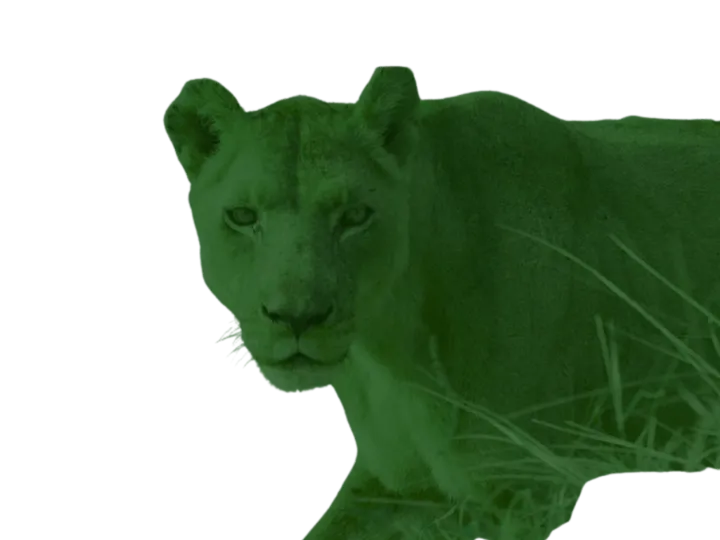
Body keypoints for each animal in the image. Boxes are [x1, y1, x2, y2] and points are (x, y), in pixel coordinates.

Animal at [164, 67, 719, 539]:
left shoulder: (528, 482)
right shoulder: (394, 484)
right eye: (241, 216)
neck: (386, 354)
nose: (296, 317)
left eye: (355, 216)